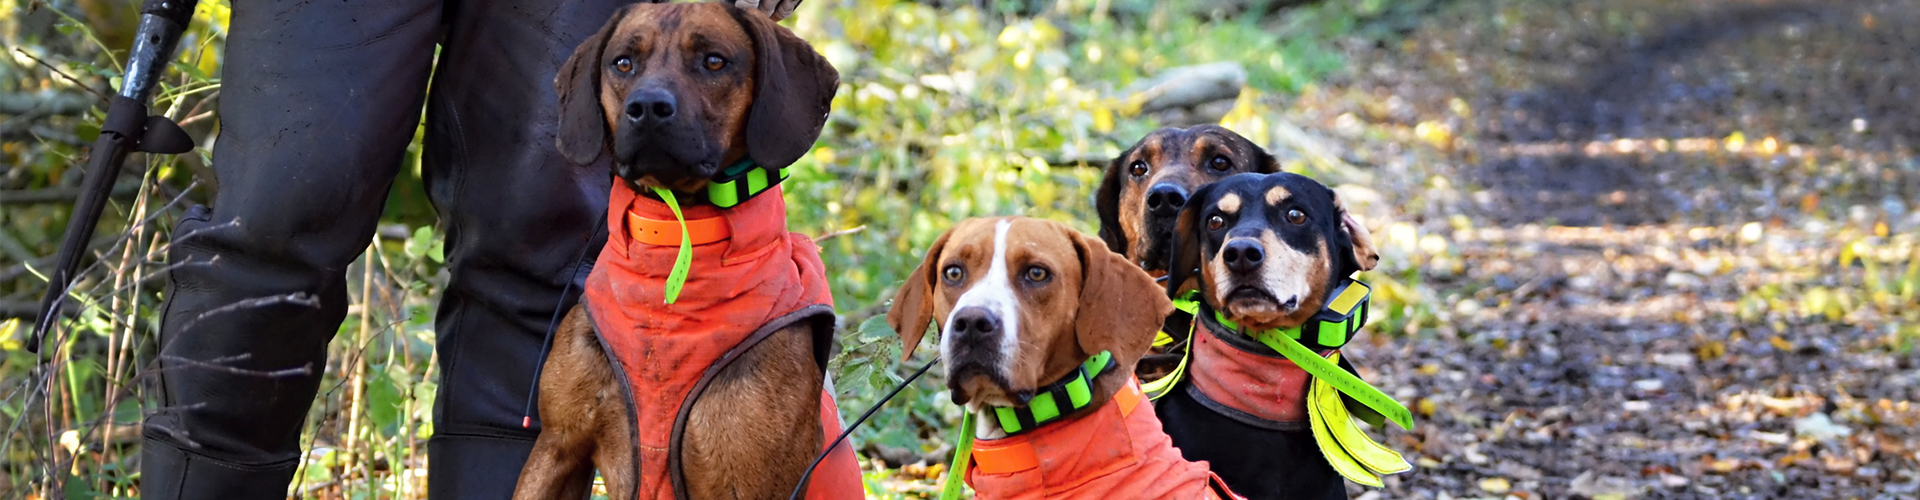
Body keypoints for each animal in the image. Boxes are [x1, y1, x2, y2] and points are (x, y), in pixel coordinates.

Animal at [510, 1, 856, 496]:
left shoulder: (748, 478)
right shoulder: (558, 446)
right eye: (623, 62)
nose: (647, 108)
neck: (674, 237)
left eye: (714, 61)